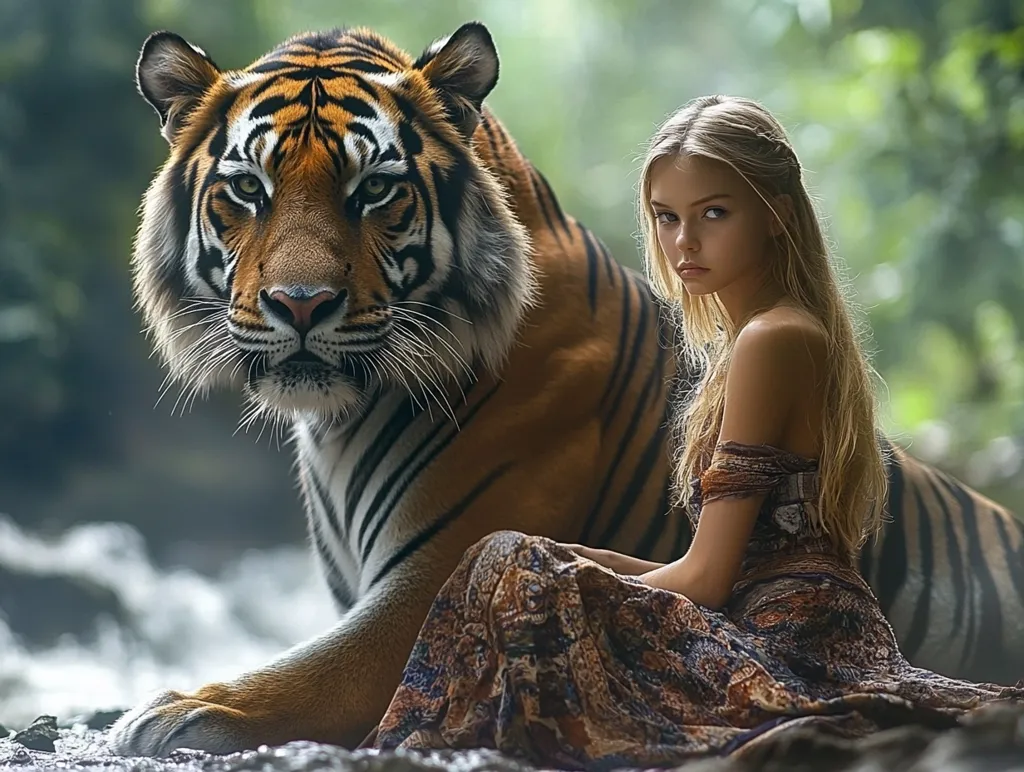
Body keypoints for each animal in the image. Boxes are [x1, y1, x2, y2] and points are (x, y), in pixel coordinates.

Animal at [108, 21, 1024, 757]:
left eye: (375, 190)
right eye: (247, 189)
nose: (300, 305)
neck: (336, 417)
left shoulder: (427, 577)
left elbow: (323, 670)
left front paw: (175, 712)